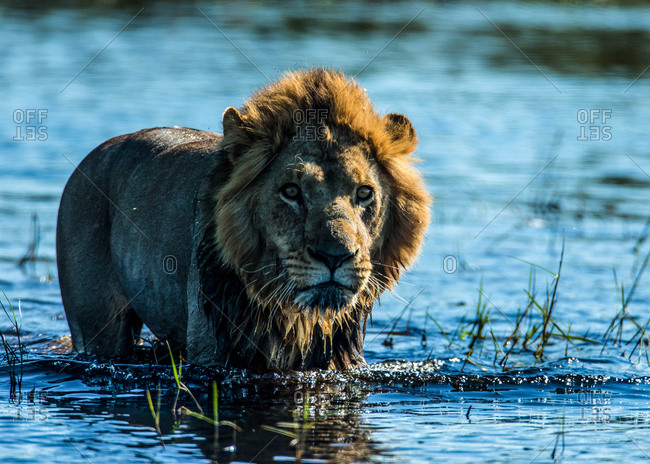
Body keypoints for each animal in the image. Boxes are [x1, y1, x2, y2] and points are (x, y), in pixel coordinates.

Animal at [56, 68, 431, 370]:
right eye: (291, 191)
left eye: (364, 193)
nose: (335, 256)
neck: (294, 318)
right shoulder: (211, 354)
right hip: (97, 326)